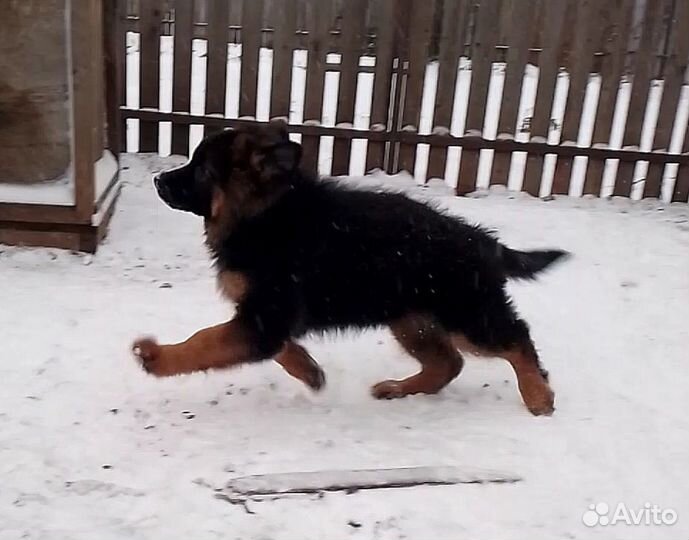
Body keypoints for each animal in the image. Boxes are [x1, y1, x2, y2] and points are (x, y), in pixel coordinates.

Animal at [132, 123, 568, 418]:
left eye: (202, 170)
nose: (158, 179)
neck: (266, 215)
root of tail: (482, 241)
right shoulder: (265, 319)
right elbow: (279, 349)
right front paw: (310, 373)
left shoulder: (265, 315)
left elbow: (205, 340)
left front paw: (157, 357)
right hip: (411, 318)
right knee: (449, 362)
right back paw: (399, 388)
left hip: (464, 312)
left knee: (515, 338)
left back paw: (539, 396)